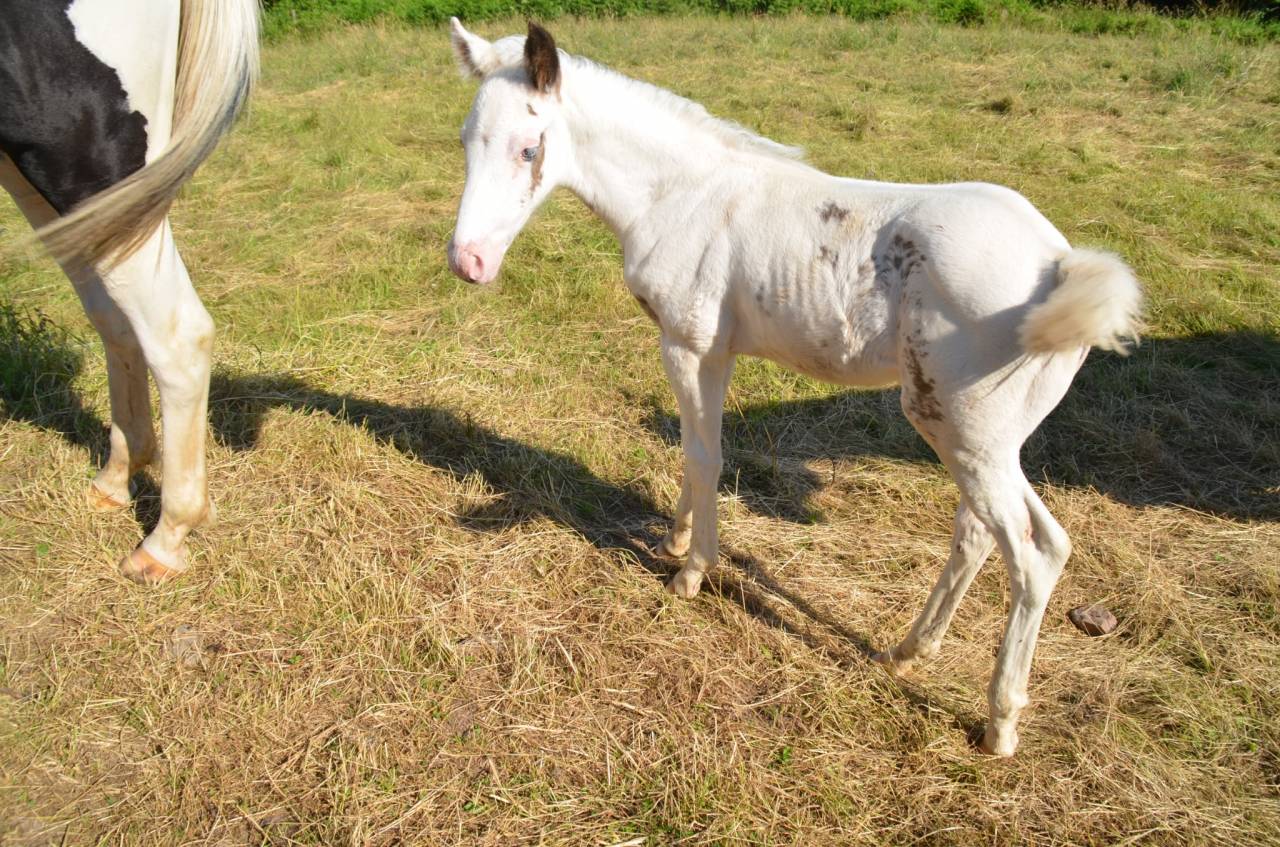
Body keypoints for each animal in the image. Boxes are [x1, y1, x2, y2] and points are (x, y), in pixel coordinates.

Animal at [445, 19, 1141, 756]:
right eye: (464, 139)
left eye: (528, 148)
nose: (468, 262)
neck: (680, 194)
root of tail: (1059, 262)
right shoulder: (712, 352)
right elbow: (693, 449)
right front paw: (674, 541)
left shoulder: (688, 343)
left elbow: (706, 456)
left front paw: (691, 572)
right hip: (991, 435)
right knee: (996, 534)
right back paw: (908, 650)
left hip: (961, 425)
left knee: (1030, 554)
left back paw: (999, 721)